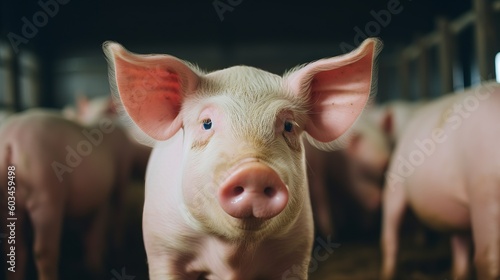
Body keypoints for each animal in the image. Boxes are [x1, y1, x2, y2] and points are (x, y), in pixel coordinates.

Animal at [0, 109, 139, 280]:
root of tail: (11, 140)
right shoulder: (105, 193)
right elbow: (97, 229)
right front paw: (97, 266)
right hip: (46, 193)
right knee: (43, 251)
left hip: (7, 202)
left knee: (15, 250)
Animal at [103, 37, 380, 280]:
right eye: (206, 123)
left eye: (289, 126)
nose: (255, 171)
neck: (235, 254)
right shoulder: (162, 249)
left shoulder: (297, 250)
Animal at [380, 81, 500, 280]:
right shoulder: (484, 190)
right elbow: (487, 259)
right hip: (395, 177)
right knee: (390, 234)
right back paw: (387, 274)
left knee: (460, 244)